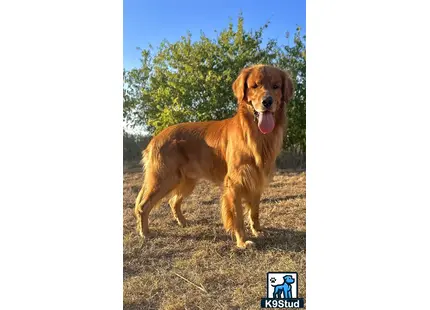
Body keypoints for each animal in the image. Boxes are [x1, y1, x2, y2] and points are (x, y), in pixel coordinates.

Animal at [136, 64, 294, 248]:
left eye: (276, 86)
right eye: (255, 86)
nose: (267, 102)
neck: (255, 135)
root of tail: (155, 138)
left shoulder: (256, 179)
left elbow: (254, 212)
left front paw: (258, 231)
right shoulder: (235, 183)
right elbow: (237, 217)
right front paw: (242, 241)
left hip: (186, 181)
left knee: (173, 202)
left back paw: (183, 222)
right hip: (163, 179)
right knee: (143, 206)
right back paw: (145, 233)